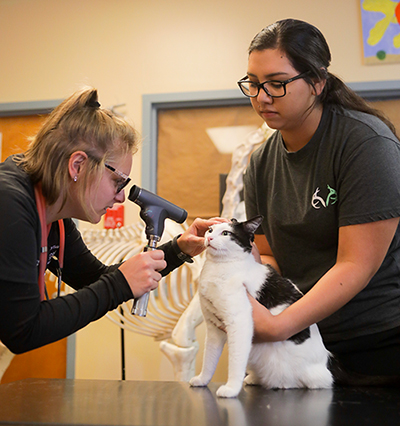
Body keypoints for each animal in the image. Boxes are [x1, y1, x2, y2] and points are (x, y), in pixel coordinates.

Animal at [189, 218, 332, 398]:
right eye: (209, 230)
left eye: (226, 233)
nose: (209, 238)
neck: (218, 268)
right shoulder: (213, 327)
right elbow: (209, 359)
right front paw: (202, 379)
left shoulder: (239, 323)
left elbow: (235, 361)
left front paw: (231, 389)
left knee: (302, 383)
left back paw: (280, 383)